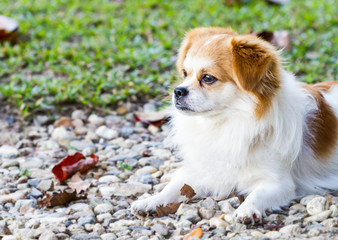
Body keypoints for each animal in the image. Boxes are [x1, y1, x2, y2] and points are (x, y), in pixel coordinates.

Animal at [131, 27, 338, 224]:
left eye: (208, 78)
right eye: (184, 74)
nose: (178, 91)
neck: (226, 123)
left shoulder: (279, 182)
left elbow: (257, 194)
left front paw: (247, 210)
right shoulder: (205, 169)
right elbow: (174, 186)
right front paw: (151, 201)